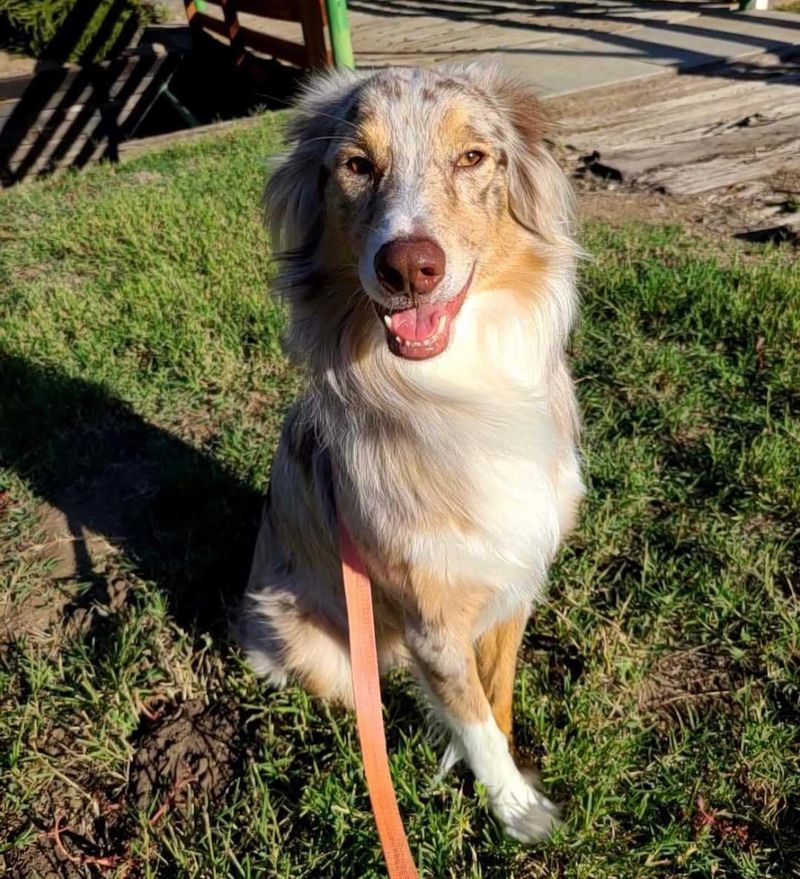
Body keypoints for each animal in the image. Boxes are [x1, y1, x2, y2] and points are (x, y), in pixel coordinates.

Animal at [238, 65, 580, 844]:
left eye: (473, 157)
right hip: (307, 640)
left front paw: (504, 775)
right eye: (357, 165)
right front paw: (516, 807)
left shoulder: (515, 578)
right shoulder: (431, 618)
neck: (458, 385)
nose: (409, 268)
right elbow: (475, 720)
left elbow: (495, 697)